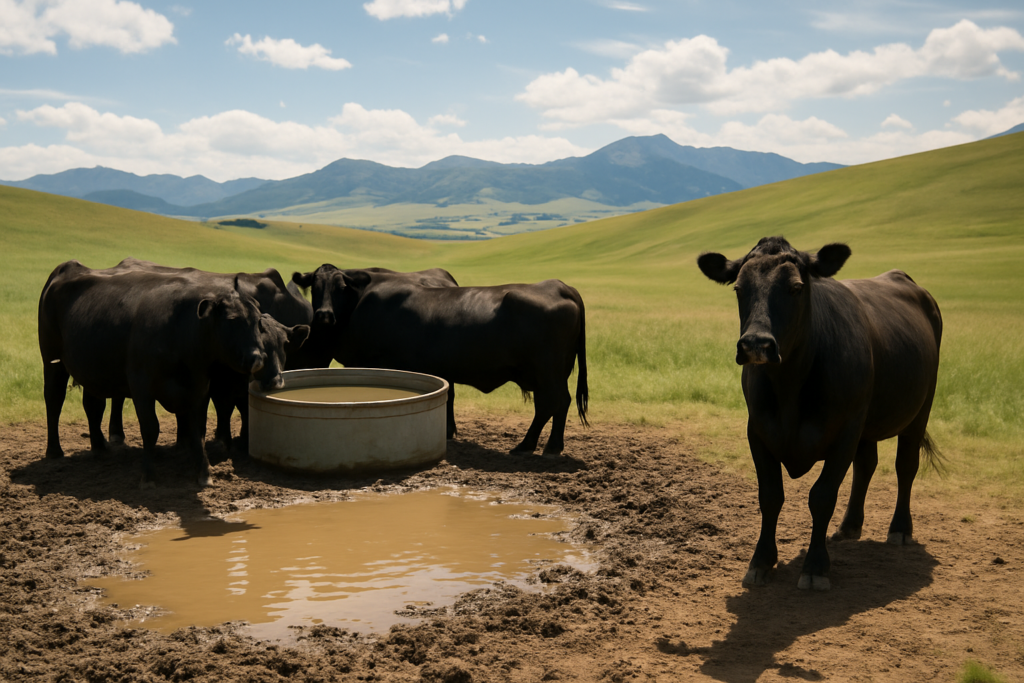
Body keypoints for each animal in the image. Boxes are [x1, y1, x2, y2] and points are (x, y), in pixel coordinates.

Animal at [38, 260, 310, 486]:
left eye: (284, 344)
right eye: (231, 320)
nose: (258, 360)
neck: (179, 331)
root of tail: (68, 267)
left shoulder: (199, 388)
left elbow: (199, 428)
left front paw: (204, 472)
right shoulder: (142, 385)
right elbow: (151, 428)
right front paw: (149, 475)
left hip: (94, 370)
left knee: (93, 405)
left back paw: (99, 447)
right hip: (52, 362)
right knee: (54, 399)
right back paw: (55, 451)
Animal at [292, 264, 589, 455]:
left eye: (340, 287)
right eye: (314, 288)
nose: (324, 315)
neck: (359, 303)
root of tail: (560, 287)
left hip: (547, 372)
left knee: (552, 404)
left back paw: (535, 446)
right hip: (550, 374)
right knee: (555, 405)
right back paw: (544, 446)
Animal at [697, 236, 942, 590]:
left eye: (796, 288)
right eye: (739, 288)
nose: (756, 344)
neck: (789, 389)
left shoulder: (844, 433)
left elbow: (822, 496)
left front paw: (815, 566)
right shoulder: (758, 431)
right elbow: (770, 496)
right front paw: (761, 561)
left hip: (920, 409)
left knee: (905, 466)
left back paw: (900, 529)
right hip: (866, 422)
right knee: (866, 465)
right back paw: (850, 525)